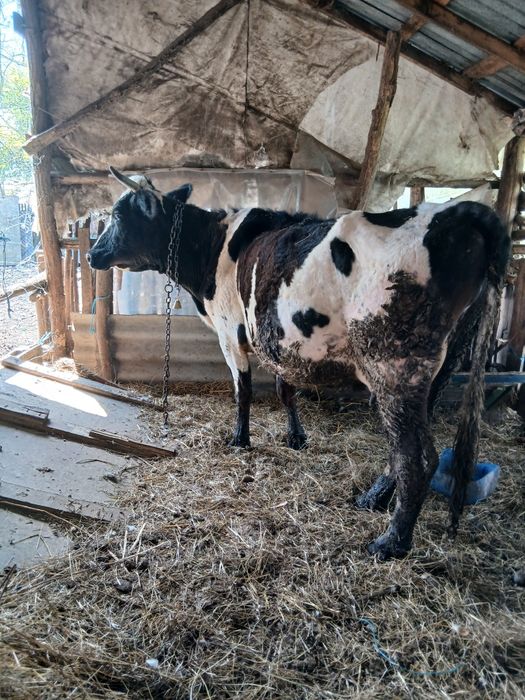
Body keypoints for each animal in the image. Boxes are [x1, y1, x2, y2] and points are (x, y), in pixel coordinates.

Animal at [88, 167, 509, 560]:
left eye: (118, 215)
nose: (92, 254)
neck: (213, 247)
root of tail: (458, 213)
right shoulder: (277, 338)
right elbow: (284, 388)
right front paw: (296, 437)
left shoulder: (229, 331)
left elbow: (242, 390)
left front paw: (239, 439)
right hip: (442, 366)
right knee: (407, 451)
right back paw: (373, 499)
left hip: (394, 365)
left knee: (417, 457)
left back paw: (391, 541)